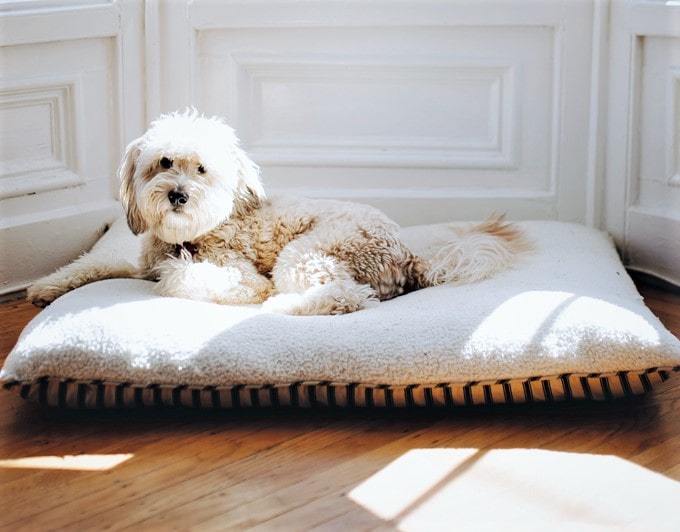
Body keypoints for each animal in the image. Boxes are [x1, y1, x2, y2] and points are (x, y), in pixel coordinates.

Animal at [26, 109, 532, 314]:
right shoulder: (137, 262)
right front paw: (47, 286)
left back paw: (284, 306)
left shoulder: (238, 275)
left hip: (307, 254)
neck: (189, 236)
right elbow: (93, 264)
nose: (178, 195)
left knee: (347, 297)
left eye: (202, 169)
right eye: (164, 162)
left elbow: (181, 279)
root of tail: (407, 254)